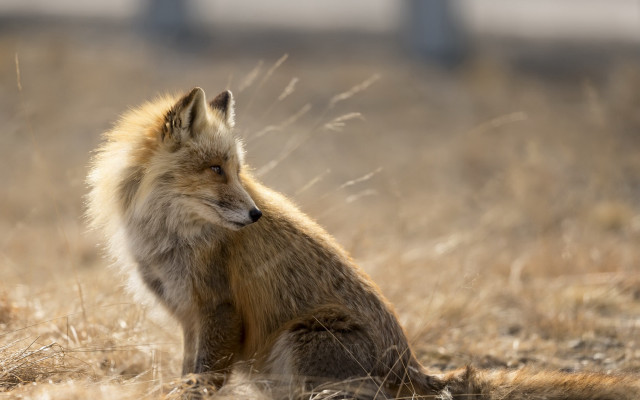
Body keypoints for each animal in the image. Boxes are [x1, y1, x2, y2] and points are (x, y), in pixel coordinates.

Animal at [87, 87, 639, 399]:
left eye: (238, 171)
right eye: (216, 170)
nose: (254, 214)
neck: (169, 235)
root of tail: (412, 366)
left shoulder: (217, 310)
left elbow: (199, 381)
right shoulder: (189, 317)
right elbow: (188, 372)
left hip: (299, 342)